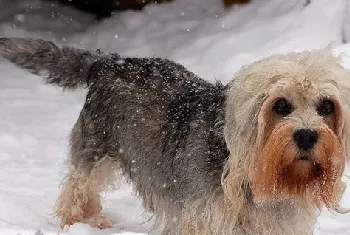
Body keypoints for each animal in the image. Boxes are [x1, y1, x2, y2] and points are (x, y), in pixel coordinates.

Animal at [0, 37, 348, 234]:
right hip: (95, 149)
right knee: (76, 189)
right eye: (280, 105)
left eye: (327, 106)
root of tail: (109, 62)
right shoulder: (206, 220)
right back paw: (84, 222)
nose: (306, 136)